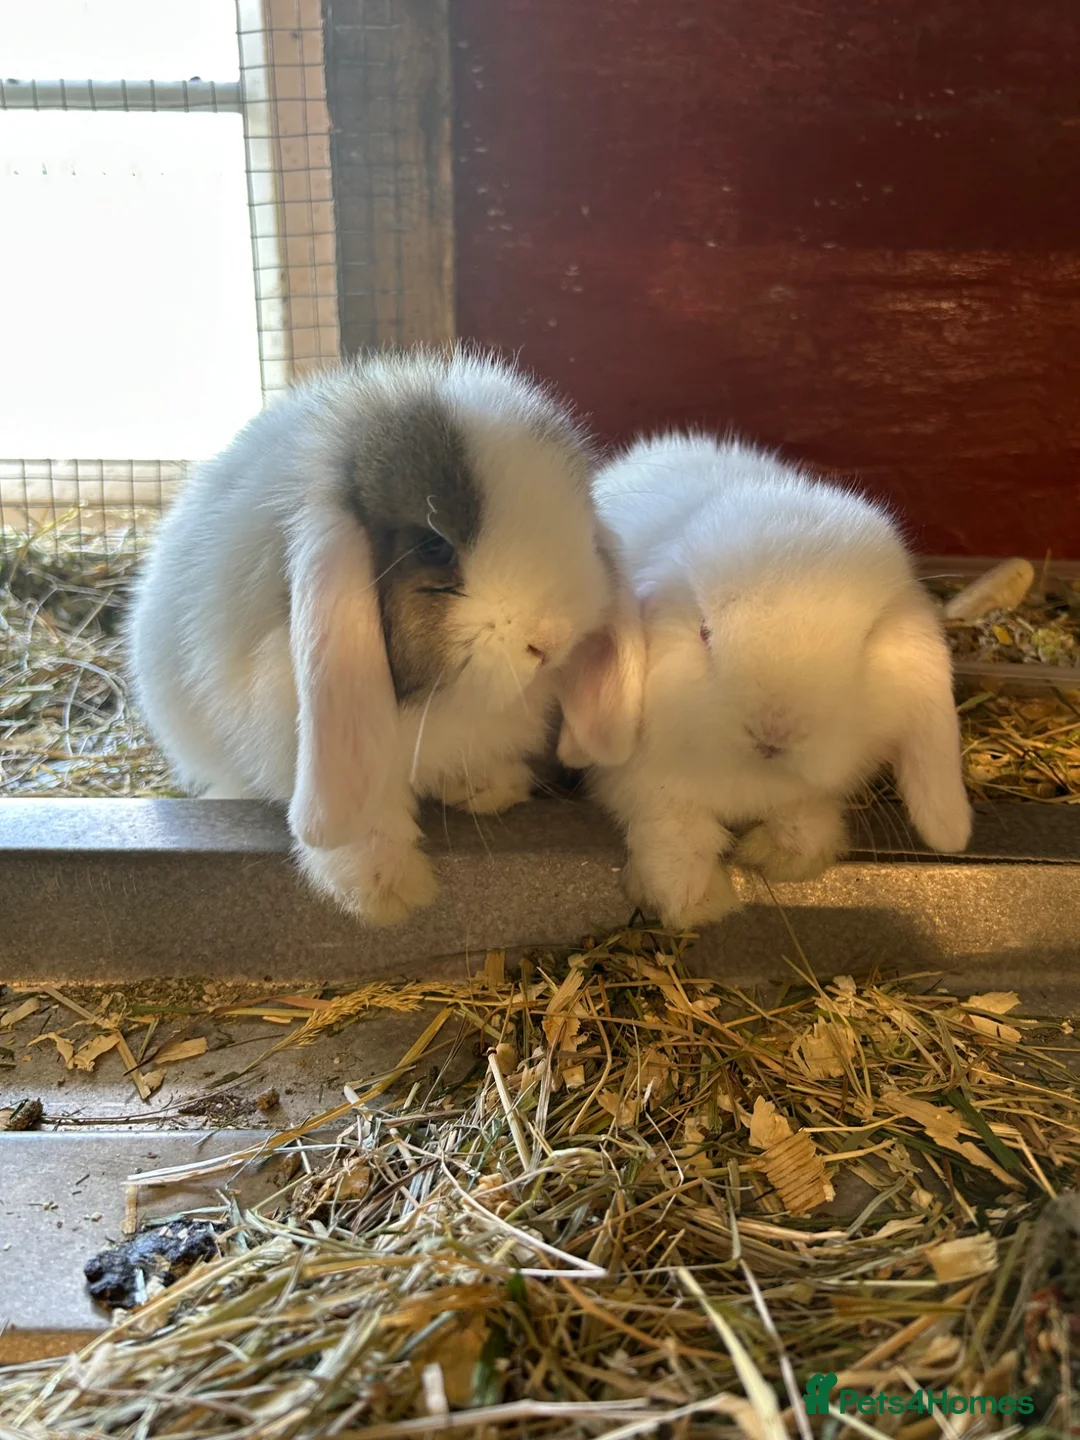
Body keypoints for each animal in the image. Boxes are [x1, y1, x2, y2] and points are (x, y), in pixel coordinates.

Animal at [129, 348, 645, 924]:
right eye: (434, 547)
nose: (551, 639)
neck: (441, 704)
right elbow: (365, 816)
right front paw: (386, 893)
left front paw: (489, 790)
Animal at [582, 431, 973, 929]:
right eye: (704, 632)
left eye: (865, 641)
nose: (773, 734)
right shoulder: (643, 783)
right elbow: (674, 827)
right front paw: (691, 902)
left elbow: (802, 817)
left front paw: (779, 857)